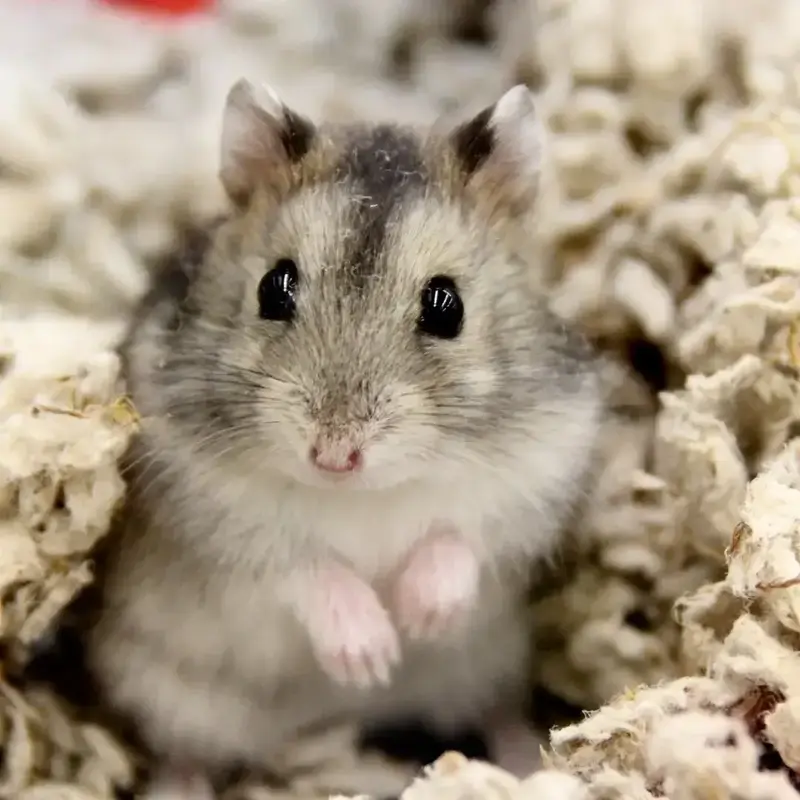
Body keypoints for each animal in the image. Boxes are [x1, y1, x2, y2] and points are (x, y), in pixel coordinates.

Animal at [84, 78, 603, 795]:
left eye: (447, 306)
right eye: (274, 287)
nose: (333, 456)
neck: (363, 495)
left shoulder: (538, 473)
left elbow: (461, 538)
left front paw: (419, 617)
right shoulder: (214, 519)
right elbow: (305, 567)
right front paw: (371, 654)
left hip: (485, 667)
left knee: (495, 713)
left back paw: (526, 762)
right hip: (169, 689)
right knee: (183, 752)